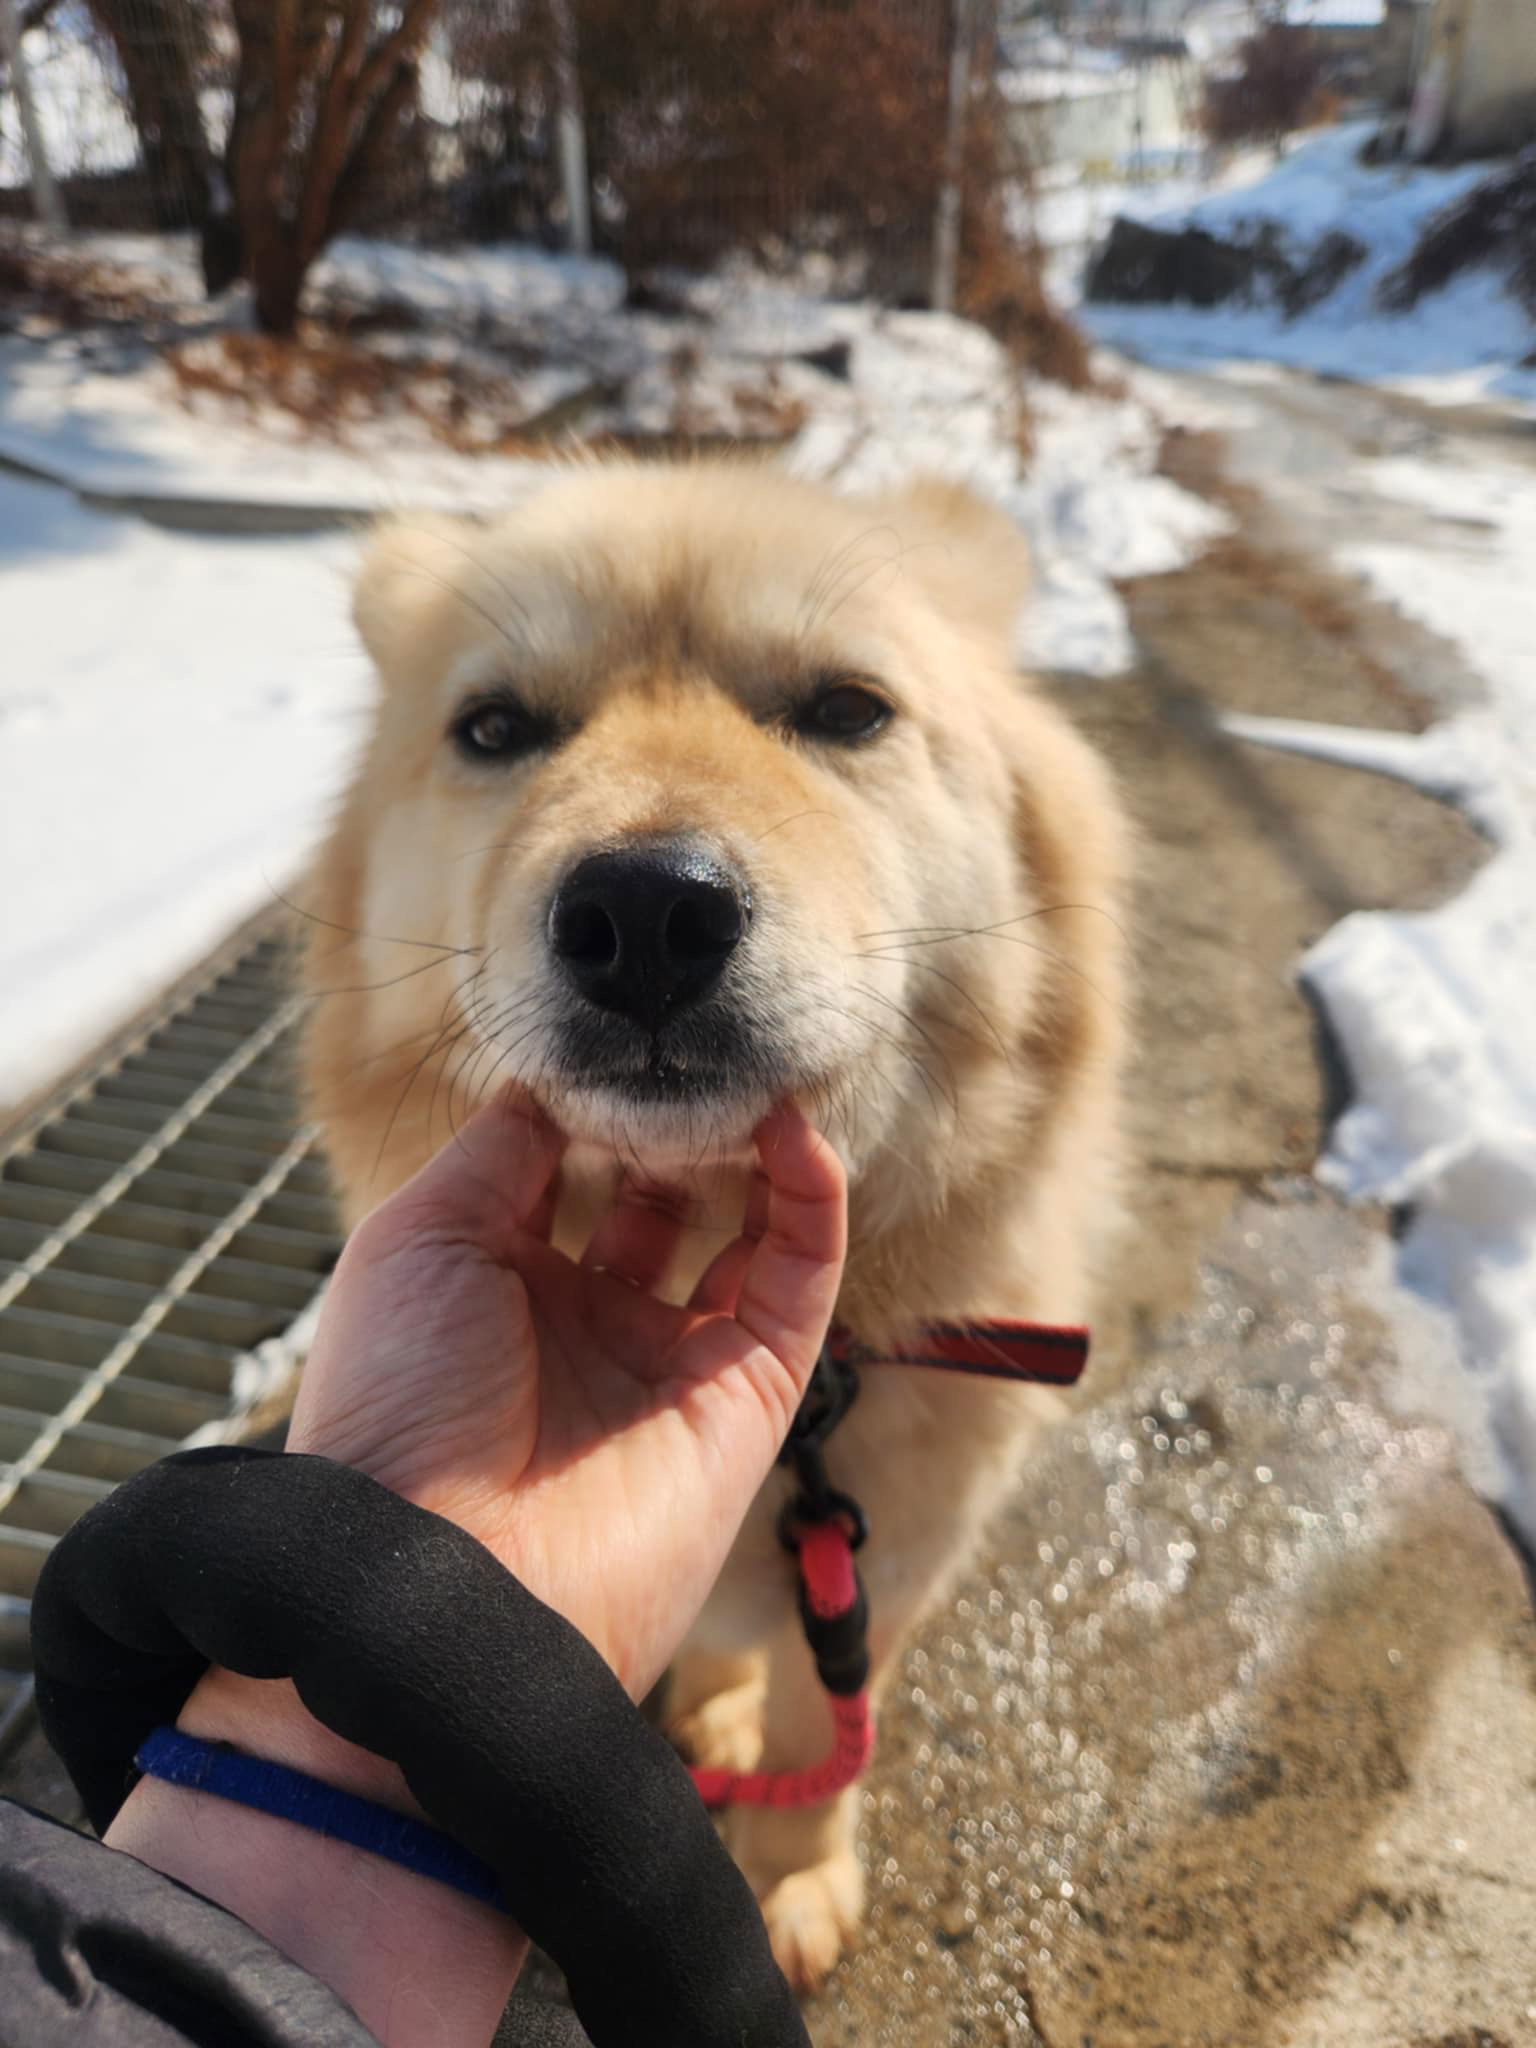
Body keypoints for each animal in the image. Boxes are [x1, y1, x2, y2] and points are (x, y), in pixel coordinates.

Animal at [301, 464, 1130, 1982]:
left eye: (848, 709)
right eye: (495, 728)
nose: (644, 911)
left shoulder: (884, 1577)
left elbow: (826, 1728)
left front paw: (793, 1871)